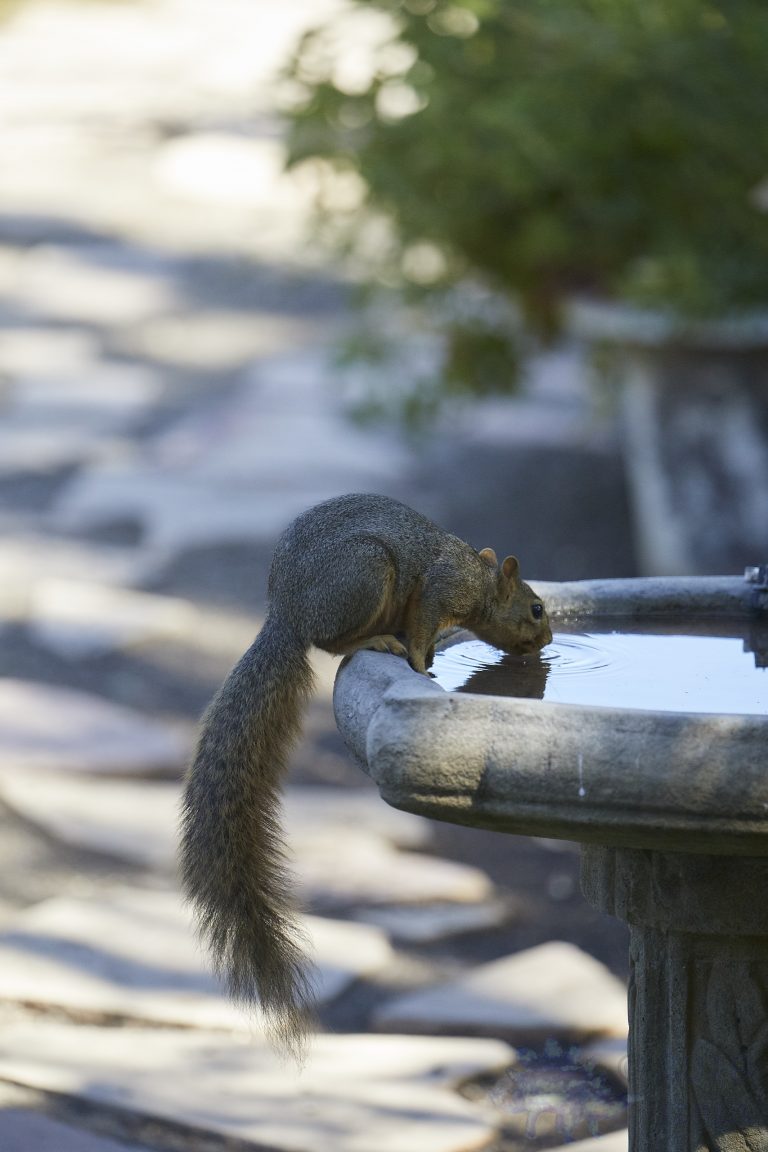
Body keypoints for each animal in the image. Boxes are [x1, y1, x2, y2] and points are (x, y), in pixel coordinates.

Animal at [179, 492, 552, 1056]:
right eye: (536, 608)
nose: (549, 640)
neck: (479, 579)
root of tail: (286, 613)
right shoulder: (439, 591)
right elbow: (421, 628)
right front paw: (420, 661)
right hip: (365, 572)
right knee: (333, 642)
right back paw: (376, 642)